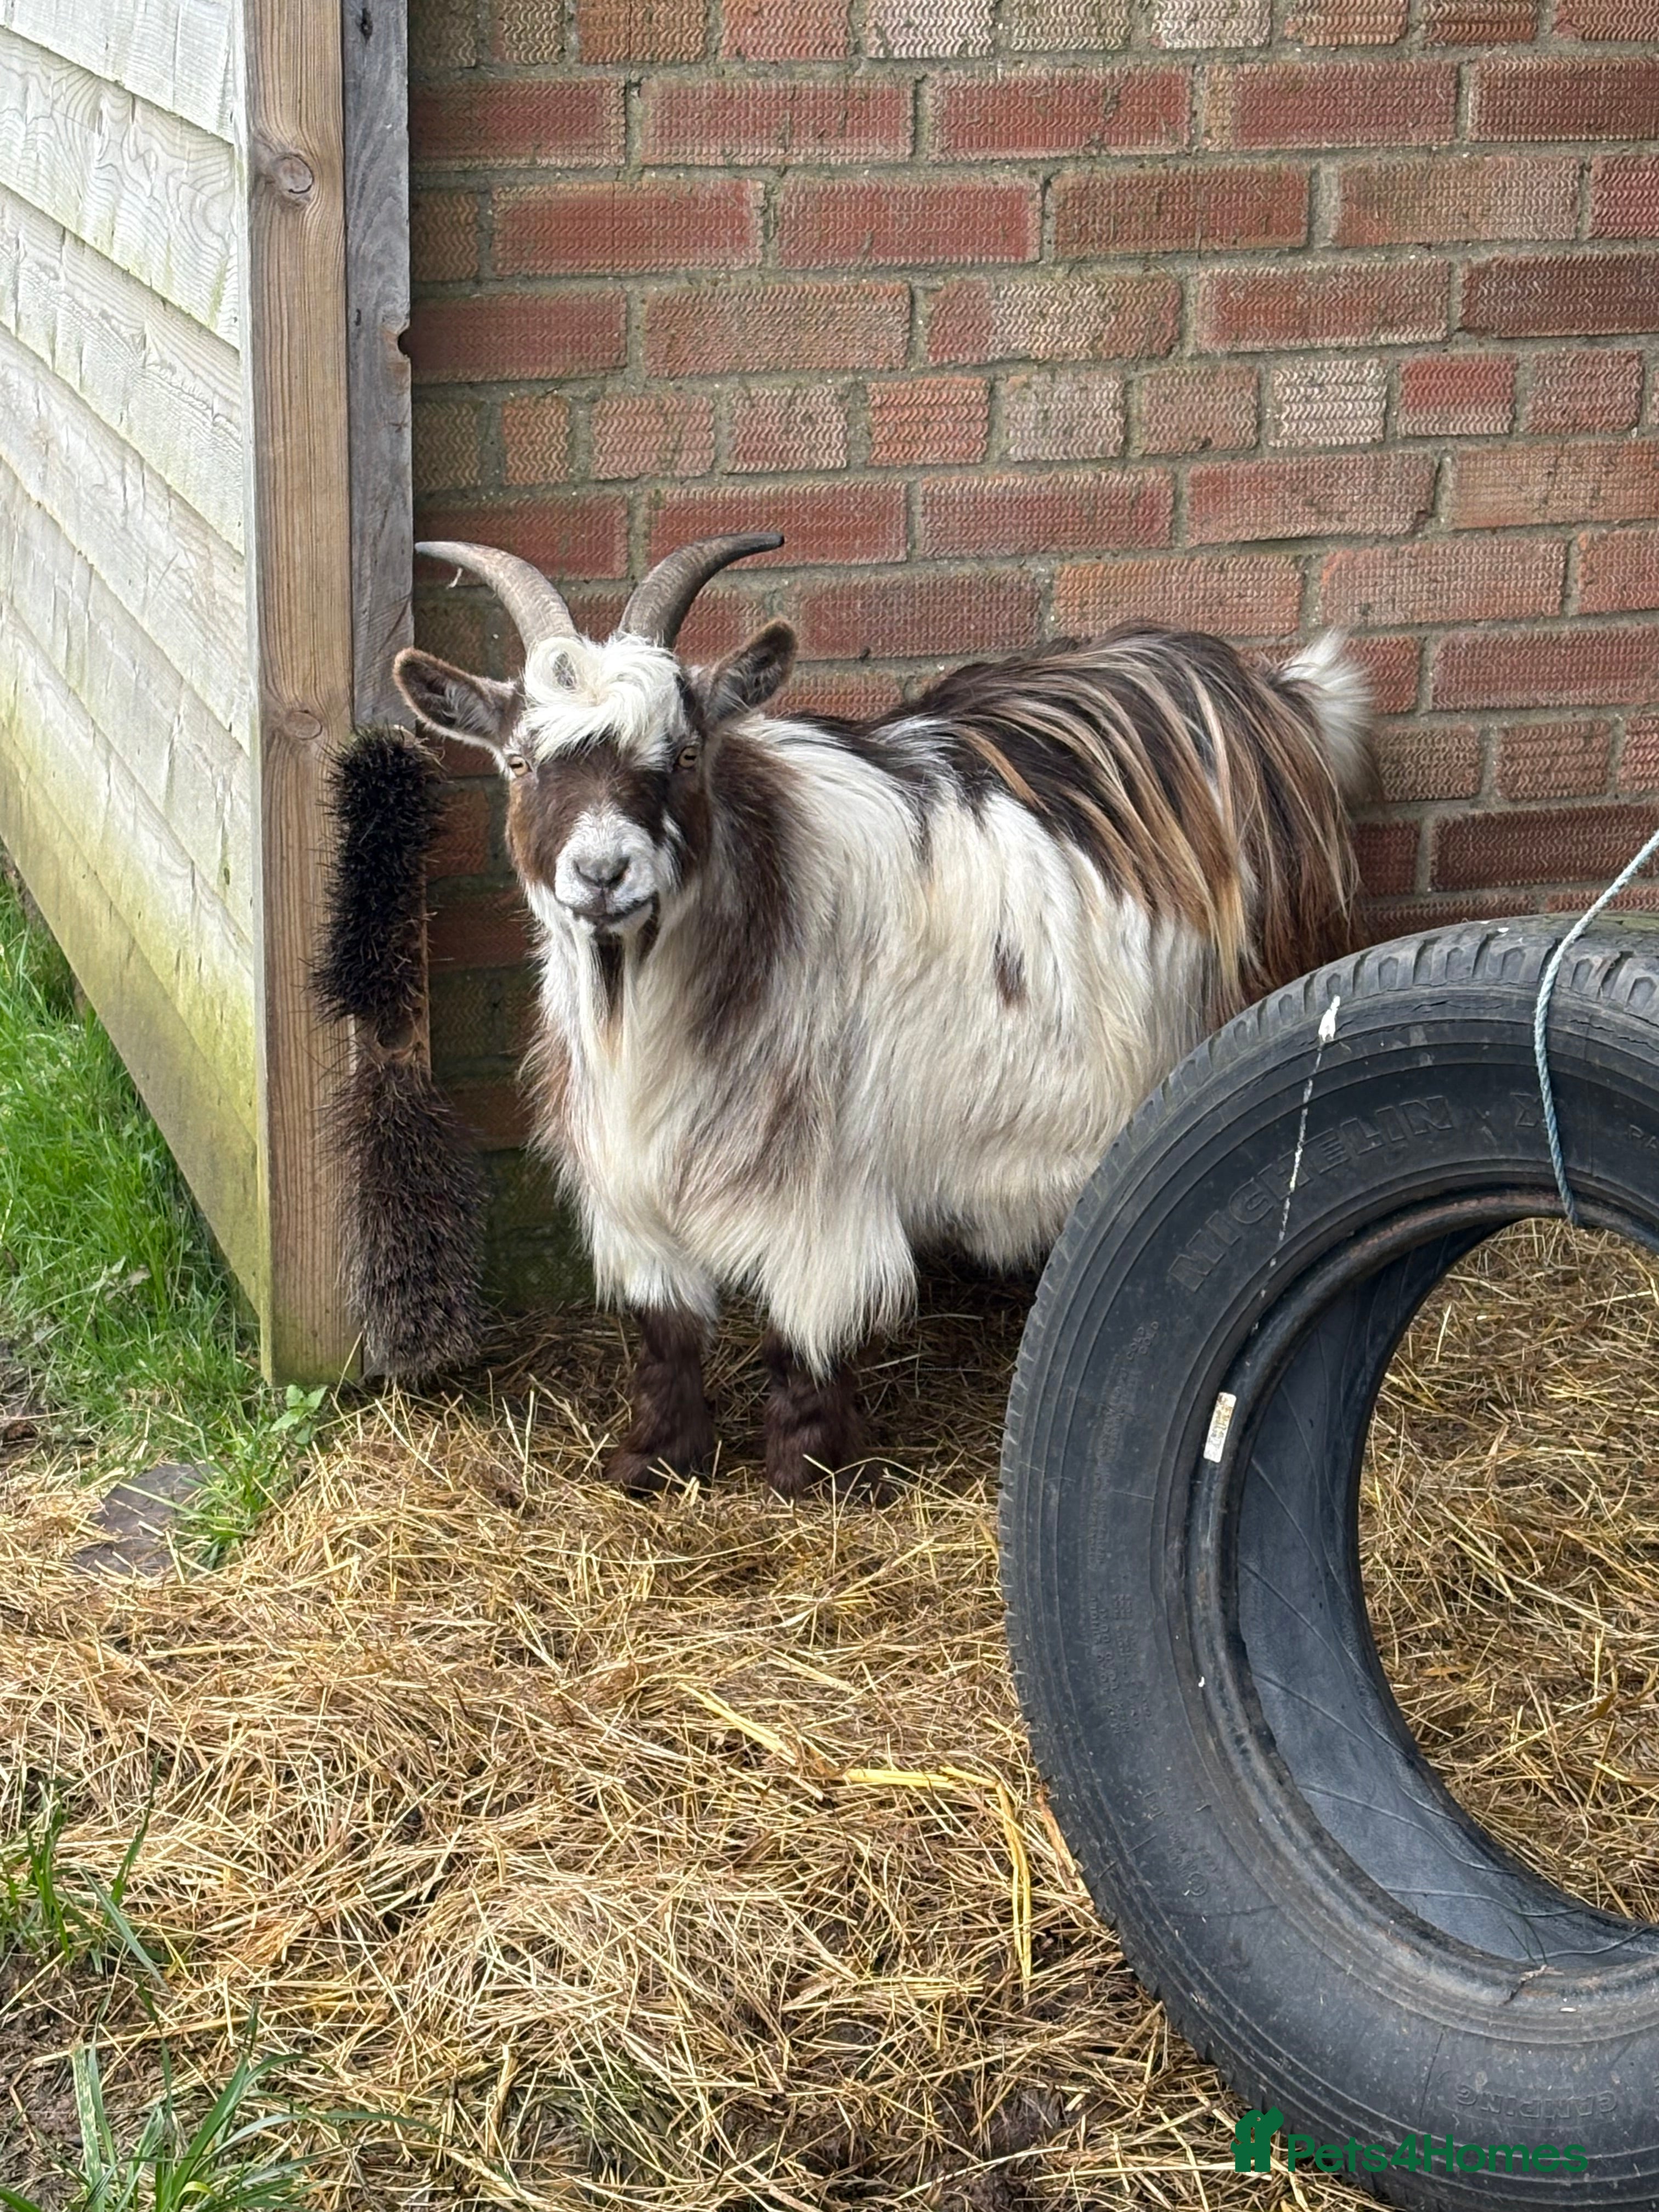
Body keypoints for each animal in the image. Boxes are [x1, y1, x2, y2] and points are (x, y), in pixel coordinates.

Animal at [394, 533, 1373, 1497]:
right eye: (519, 762)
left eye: (683, 755)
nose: (602, 873)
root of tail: (1276, 693)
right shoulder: (632, 1181)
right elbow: (665, 1332)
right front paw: (656, 1461)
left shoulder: (818, 1179)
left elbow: (804, 1330)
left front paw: (805, 1470)